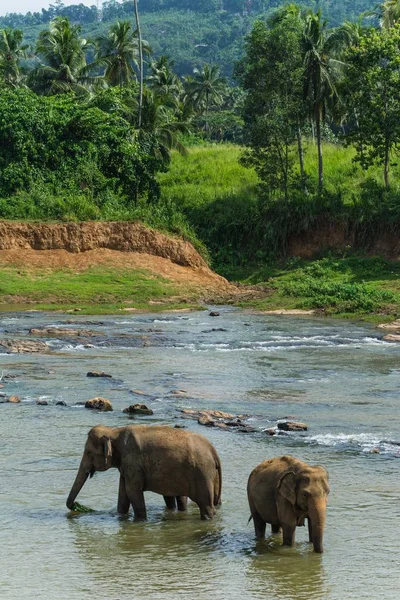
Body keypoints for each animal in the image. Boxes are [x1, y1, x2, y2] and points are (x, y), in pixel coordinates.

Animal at [66, 422, 222, 520]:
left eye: (88, 453)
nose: (75, 505)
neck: (114, 431)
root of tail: (213, 450)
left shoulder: (133, 463)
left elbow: (132, 491)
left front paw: (140, 521)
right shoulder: (126, 466)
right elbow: (123, 495)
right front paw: (121, 517)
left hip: (202, 473)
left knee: (206, 506)